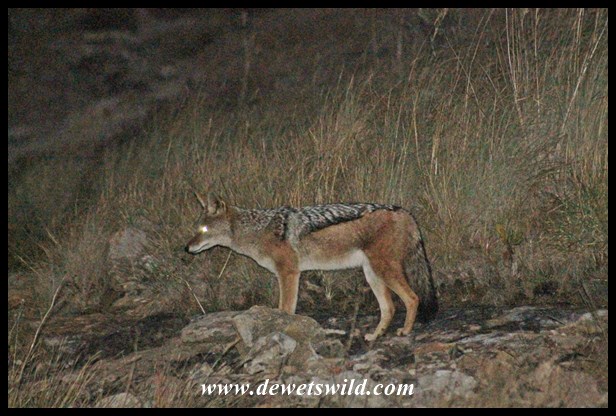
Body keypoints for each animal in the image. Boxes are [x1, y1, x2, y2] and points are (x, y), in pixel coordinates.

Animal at [185, 192, 438, 341]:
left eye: (203, 230)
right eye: (196, 229)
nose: (186, 248)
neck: (257, 231)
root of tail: (404, 211)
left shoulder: (289, 273)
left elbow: (285, 310)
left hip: (383, 270)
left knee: (412, 298)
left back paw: (405, 331)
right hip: (372, 274)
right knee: (389, 308)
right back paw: (375, 336)